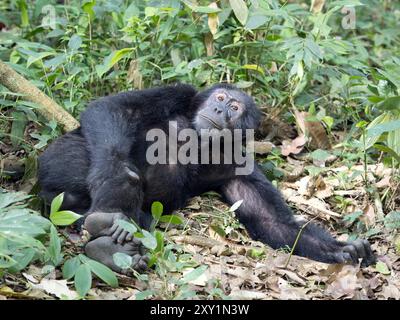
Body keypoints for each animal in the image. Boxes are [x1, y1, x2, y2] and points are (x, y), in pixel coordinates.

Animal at [37, 84, 376, 272]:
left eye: (234, 107)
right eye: (221, 97)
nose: (219, 108)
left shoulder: (241, 166)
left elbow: (274, 222)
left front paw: (344, 250)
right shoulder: (180, 92)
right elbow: (117, 106)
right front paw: (120, 178)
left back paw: (111, 247)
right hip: (55, 162)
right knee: (80, 156)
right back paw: (108, 222)